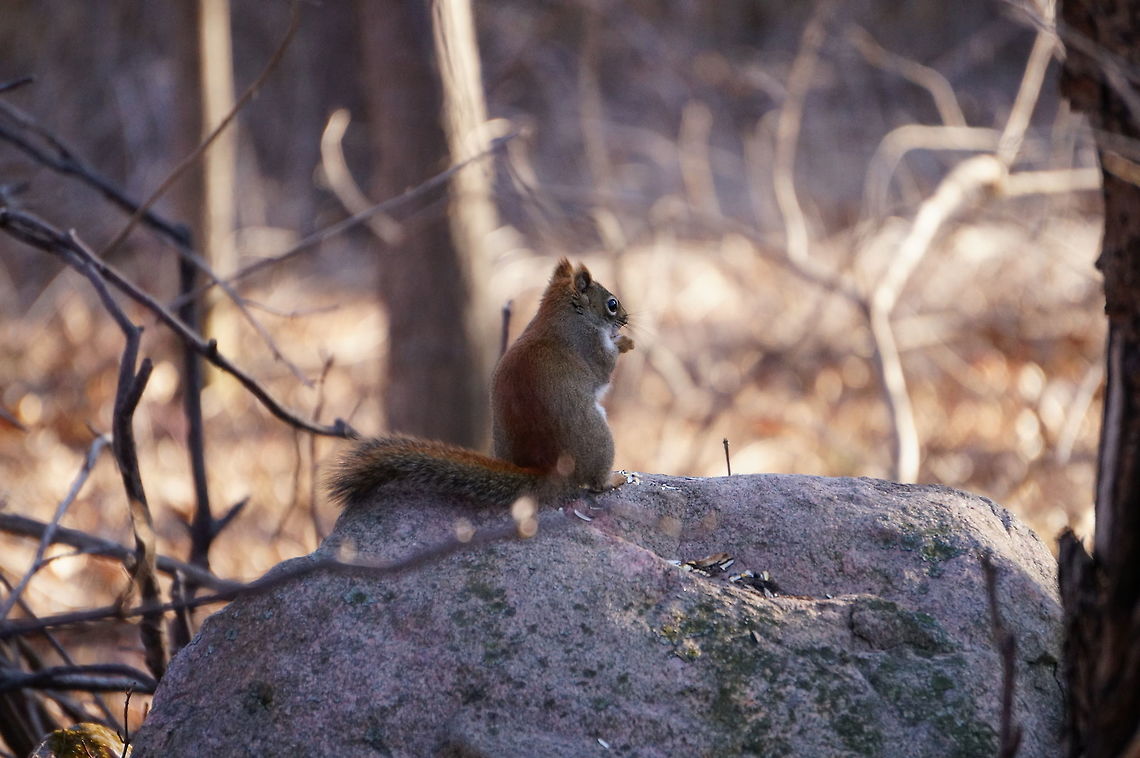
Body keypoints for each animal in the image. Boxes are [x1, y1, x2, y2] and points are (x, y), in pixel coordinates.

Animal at [328, 258, 634, 510]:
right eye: (612, 303)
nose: (625, 318)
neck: (561, 312)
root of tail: (545, 469)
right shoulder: (589, 343)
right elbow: (605, 369)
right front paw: (624, 343)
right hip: (598, 439)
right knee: (594, 483)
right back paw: (611, 480)